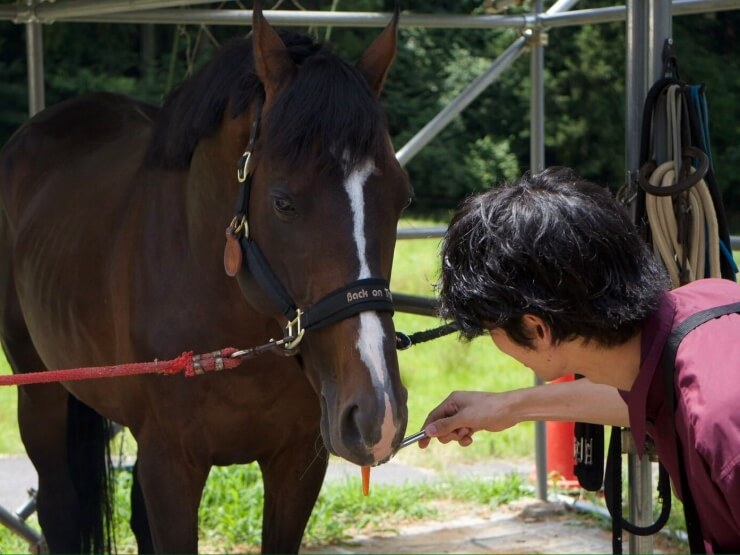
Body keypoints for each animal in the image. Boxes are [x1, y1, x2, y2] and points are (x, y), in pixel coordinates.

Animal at [0, 3, 412, 553]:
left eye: (402, 199)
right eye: (283, 202)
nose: (376, 413)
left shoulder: (297, 464)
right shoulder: (171, 465)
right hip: (40, 395)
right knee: (58, 505)